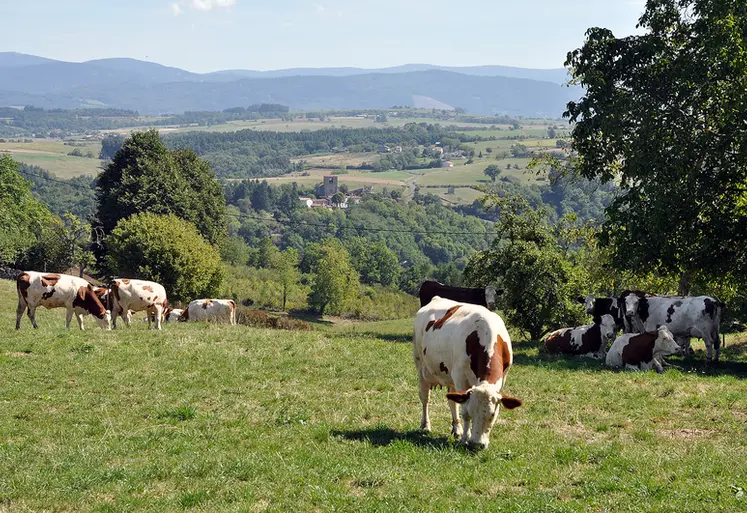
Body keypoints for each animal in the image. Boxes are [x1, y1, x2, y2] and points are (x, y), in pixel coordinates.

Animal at [413, 296, 522, 450]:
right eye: (472, 412)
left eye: (492, 414)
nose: (477, 444)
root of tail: (436, 298)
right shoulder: (460, 378)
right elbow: (463, 411)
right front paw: (466, 438)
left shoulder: (502, 378)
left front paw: (462, 434)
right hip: (421, 367)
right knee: (425, 398)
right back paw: (425, 425)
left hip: (450, 377)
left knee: (452, 401)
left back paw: (456, 430)